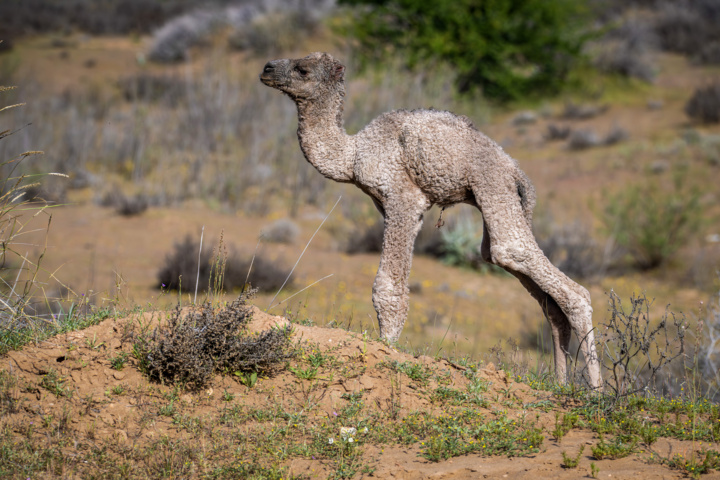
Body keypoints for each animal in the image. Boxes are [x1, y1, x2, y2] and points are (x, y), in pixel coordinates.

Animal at [260, 53, 600, 390]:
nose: (266, 68)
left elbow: (388, 288)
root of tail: (516, 170)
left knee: (539, 268)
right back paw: (561, 385)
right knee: (526, 280)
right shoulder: (389, 206)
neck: (353, 154)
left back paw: (596, 390)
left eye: (302, 69)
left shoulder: (403, 198)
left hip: (492, 185)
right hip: (503, 202)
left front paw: (386, 350)